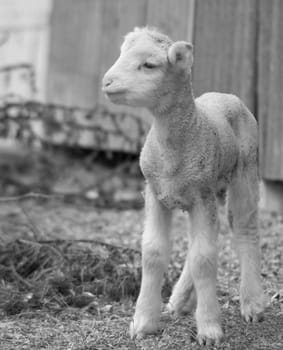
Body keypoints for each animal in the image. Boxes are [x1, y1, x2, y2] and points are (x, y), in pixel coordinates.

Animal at [102, 26, 266, 344]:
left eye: (149, 65)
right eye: (121, 54)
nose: (107, 82)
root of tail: (226, 95)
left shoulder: (200, 196)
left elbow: (204, 259)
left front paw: (210, 329)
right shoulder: (155, 193)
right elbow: (154, 252)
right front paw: (143, 323)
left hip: (244, 170)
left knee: (244, 227)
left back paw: (252, 304)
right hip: (210, 189)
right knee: (205, 239)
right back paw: (179, 300)